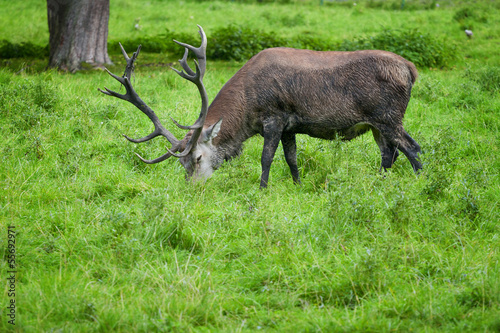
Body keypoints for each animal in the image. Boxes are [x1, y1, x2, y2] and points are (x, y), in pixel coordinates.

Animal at [100, 25, 422, 187]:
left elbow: (267, 158)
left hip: (388, 116)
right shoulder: (291, 125)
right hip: (377, 124)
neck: (248, 111)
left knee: (412, 148)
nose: (192, 189)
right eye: (181, 163)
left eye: (198, 158)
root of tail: (411, 69)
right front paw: (298, 186)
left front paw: (262, 189)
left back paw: (421, 184)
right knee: (389, 153)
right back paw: (380, 183)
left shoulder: (274, 117)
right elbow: (292, 159)